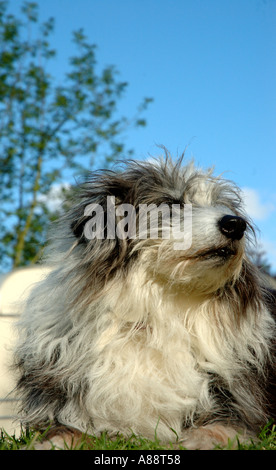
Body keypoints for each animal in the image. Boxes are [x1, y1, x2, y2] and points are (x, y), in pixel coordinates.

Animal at [14, 152, 276, 450]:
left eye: (223, 206)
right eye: (172, 203)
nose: (235, 224)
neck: (163, 308)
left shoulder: (239, 407)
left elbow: (216, 430)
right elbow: (65, 431)